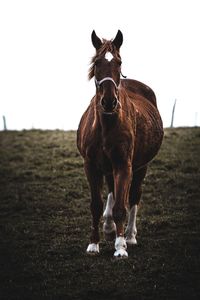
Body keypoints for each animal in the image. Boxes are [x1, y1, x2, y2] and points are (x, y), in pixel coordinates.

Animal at [76, 29, 162, 258]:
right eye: (97, 62)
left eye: (119, 63)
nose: (108, 101)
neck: (105, 125)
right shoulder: (91, 165)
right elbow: (96, 205)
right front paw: (94, 244)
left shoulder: (124, 165)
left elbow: (121, 207)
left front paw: (120, 246)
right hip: (108, 167)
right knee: (112, 192)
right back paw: (108, 227)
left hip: (140, 166)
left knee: (134, 196)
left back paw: (130, 235)